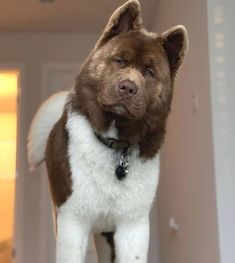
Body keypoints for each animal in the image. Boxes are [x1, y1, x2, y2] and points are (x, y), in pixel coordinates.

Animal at [27, 0, 189, 263]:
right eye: (119, 61)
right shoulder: (72, 220)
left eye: (149, 72)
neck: (115, 144)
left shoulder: (132, 226)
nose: (128, 88)